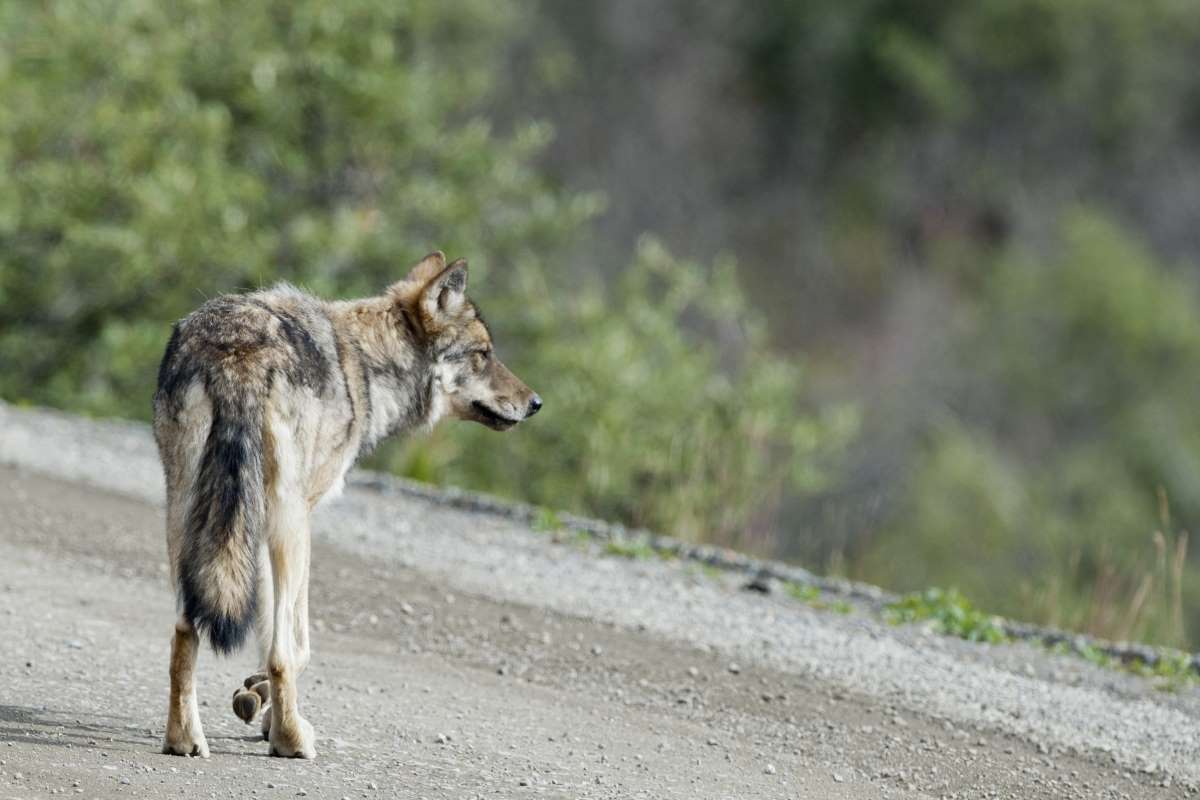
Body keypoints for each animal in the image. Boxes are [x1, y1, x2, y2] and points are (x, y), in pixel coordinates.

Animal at [152, 253, 542, 762]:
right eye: (484, 354)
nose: (536, 402)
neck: (366, 367)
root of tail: (237, 348)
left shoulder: (256, 529)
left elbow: (265, 628)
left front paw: (256, 699)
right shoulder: (293, 520)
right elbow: (295, 647)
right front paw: (265, 705)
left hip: (185, 511)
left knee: (185, 627)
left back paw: (184, 739)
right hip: (290, 525)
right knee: (280, 651)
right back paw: (292, 741)